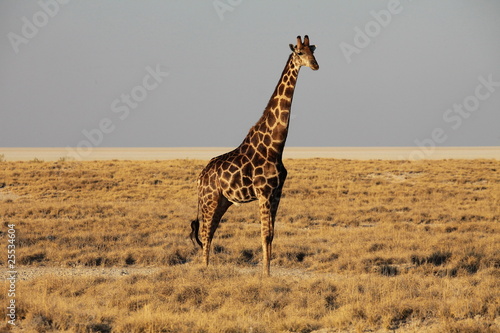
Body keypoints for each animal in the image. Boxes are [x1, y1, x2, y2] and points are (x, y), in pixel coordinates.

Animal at [189, 34, 318, 274]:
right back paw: (205, 269)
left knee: (210, 231)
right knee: (204, 232)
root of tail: (200, 177)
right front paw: (265, 274)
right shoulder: (263, 191)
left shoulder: (276, 193)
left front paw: (268, 273)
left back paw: (208, 267)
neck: (275, 147)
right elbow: (265, 234)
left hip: (223, 201)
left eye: (313, 51)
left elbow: (271, 235)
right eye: (299, 52)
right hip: (210, 198)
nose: (315, 65)